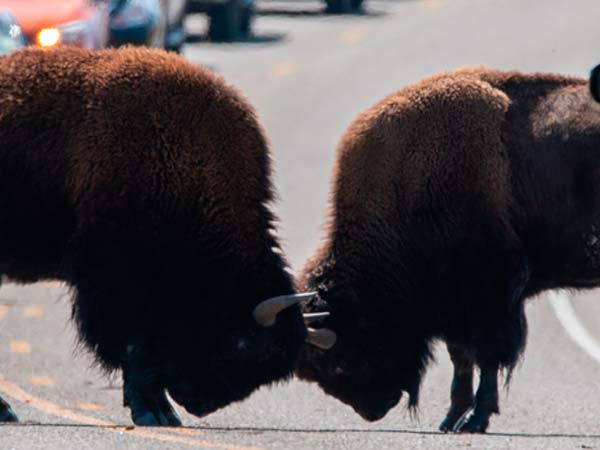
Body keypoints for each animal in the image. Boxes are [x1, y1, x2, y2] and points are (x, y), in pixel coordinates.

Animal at [0, 45, 328, 426]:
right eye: (245, 345)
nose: (200, 403)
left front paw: (161, 410)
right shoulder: (114, 284)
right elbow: (134, 348)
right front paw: (152, 412)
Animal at [296, 67, 600, 432]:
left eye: (338, 359)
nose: (371, 409)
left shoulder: (490, 296)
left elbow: (488, 356)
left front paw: (474, 418)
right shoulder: (454, 304)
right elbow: (462, 357)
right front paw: (452, 417)